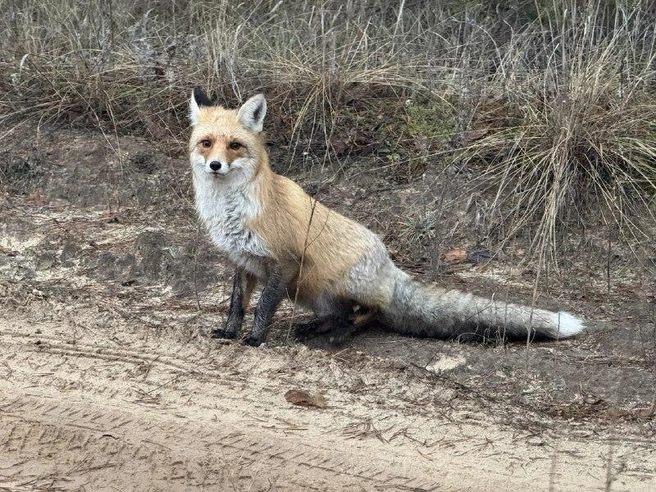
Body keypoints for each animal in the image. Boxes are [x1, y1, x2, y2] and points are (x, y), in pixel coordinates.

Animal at [188, 87, 585, 347]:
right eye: (206, 143)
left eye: (235, 145)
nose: (215, 165)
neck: (230, 210)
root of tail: (391, 268)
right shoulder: (243, 261)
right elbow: (237, 305)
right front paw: (229, 333)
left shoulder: (284, 261)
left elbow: (263, 308)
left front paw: (255, 339)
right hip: (310, 291)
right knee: (339, 313)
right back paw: (318, 327)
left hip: (335, 280)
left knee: (370, 312)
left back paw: (343, 334)